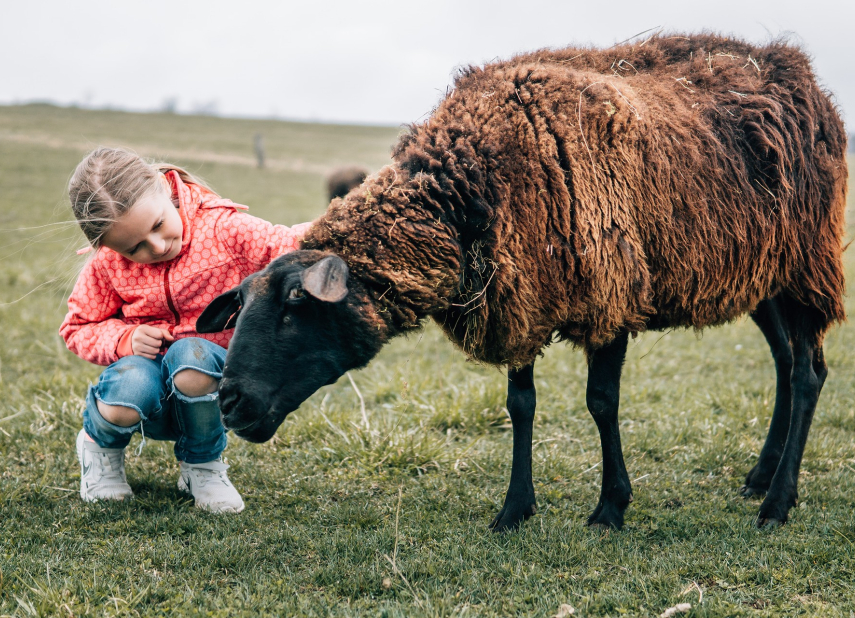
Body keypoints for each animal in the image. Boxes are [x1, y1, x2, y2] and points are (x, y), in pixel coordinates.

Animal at [201, 33, 848, 528]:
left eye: (294, 303)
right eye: (241, 303)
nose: (227, 401)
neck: (465, 191)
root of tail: (800, 72)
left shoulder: (609, 291)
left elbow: (601, 402)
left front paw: (610, 508)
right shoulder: (518, 297)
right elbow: (521, 405)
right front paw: (515, 510)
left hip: (806, 265)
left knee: (808, 373)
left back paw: (777, 502)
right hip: (763, 273)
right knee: (785, 364)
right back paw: (760, 475)